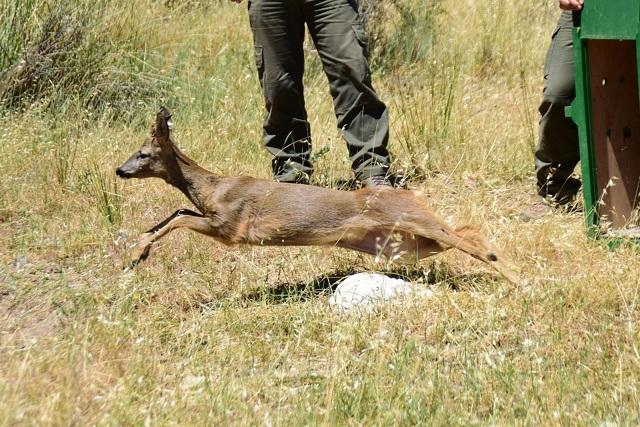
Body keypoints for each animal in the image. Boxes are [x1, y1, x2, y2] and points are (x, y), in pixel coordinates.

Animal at [117, 108, 524, 286]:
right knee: (464, 232)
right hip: (402, 245)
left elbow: (182, 217)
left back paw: (517, 278)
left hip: (411, 224)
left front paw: (137, 253)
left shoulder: (231, 226)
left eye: (144, 153)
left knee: (466, 237)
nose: (120, 170)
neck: (213, 189)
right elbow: (176, 212)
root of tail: (409, 195)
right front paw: (138, 250)